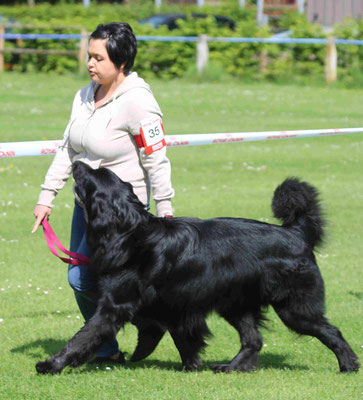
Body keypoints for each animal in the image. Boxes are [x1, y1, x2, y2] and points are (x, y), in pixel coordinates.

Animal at [35, 161, 360, 374]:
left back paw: (348, 365)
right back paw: (232, 367)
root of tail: (296, 232)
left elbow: (84, 337)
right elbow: (174, 334)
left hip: (293, 308)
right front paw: (187, 363)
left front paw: (52, 364)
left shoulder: (116, 304)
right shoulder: (170, 304)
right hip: (236, 304)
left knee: (332, 332)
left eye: (92, 176)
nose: (77, 161)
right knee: (253, 340)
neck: (128, 232)